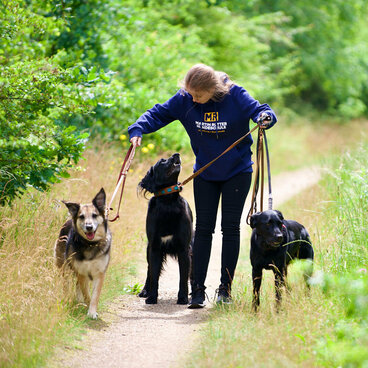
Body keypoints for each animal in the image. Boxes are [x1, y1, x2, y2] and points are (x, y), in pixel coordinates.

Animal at [53, 188, 110, 318]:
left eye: (94, 215)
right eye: (82, 217)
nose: (89, 227)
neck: (91, 244)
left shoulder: (99, 273)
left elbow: (95, 296)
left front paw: (92, 311)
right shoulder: (82, 272)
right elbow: (87, 294)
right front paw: (88, 308)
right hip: (64, 267)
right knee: (67, 284)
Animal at [138, 153, 194, 304]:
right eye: (162, 161)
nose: (177, 154)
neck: (168, 202)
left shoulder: (184, 248)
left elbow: (183, 277)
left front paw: (183, 298)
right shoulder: (155, 247)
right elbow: (154, 276)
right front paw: (152, 297)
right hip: (148, 250)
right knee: (149, 271)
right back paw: (144, 291)